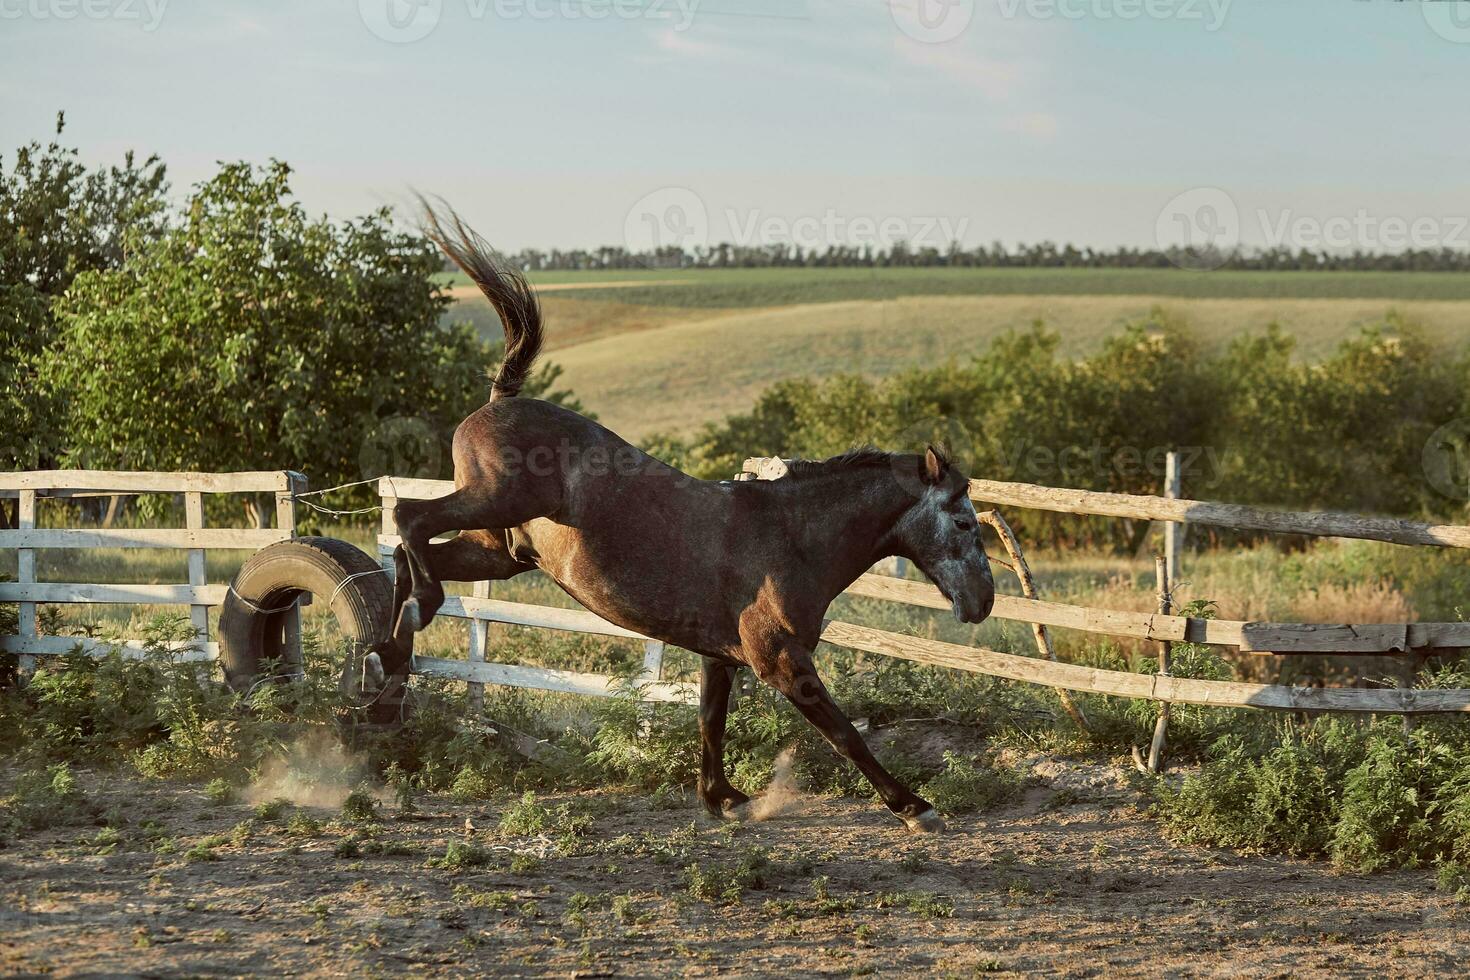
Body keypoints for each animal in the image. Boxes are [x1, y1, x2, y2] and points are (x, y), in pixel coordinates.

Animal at [382, 202, 999, 834]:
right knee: (409, 519)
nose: (983, 602)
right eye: (964, 522)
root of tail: (499, 401)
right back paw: (414, 619)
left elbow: (710, 720)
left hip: (498, 549)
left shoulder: (719, 656)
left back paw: (390, 659)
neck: (792, 537)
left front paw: (722, 797)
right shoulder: (781, 660)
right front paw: (915, 807)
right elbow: (844, 734)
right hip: (497, 502)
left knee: (410, 550)